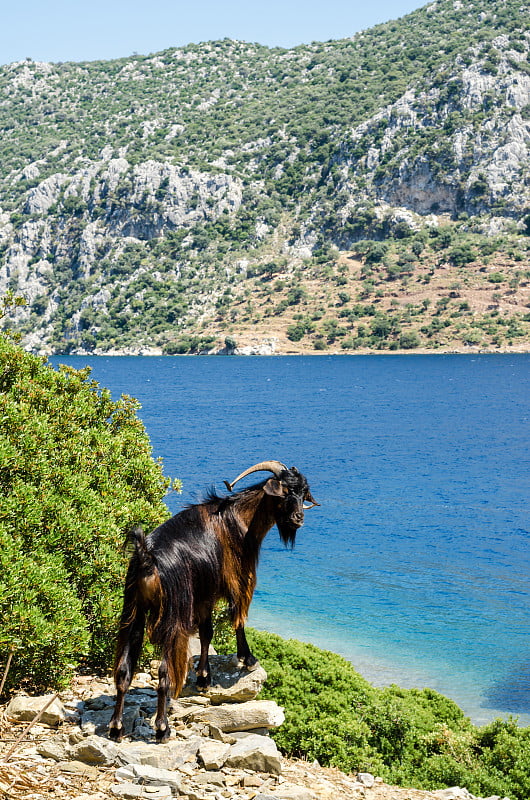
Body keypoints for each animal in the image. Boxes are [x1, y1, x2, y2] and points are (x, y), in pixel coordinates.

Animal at [106, 462, 314, 744]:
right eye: (283, 492)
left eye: (303, 493)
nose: (297, 519)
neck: (238, 520)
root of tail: (147, 560)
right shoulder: (238, 580)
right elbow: (237, 620)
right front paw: (247, 658)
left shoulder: (204, 594)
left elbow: (206, 632)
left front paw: (204, 677)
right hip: (173, 616)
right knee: (164, 673)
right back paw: (162, 728)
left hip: (133, 611)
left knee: (124, 670)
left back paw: (116, 728)